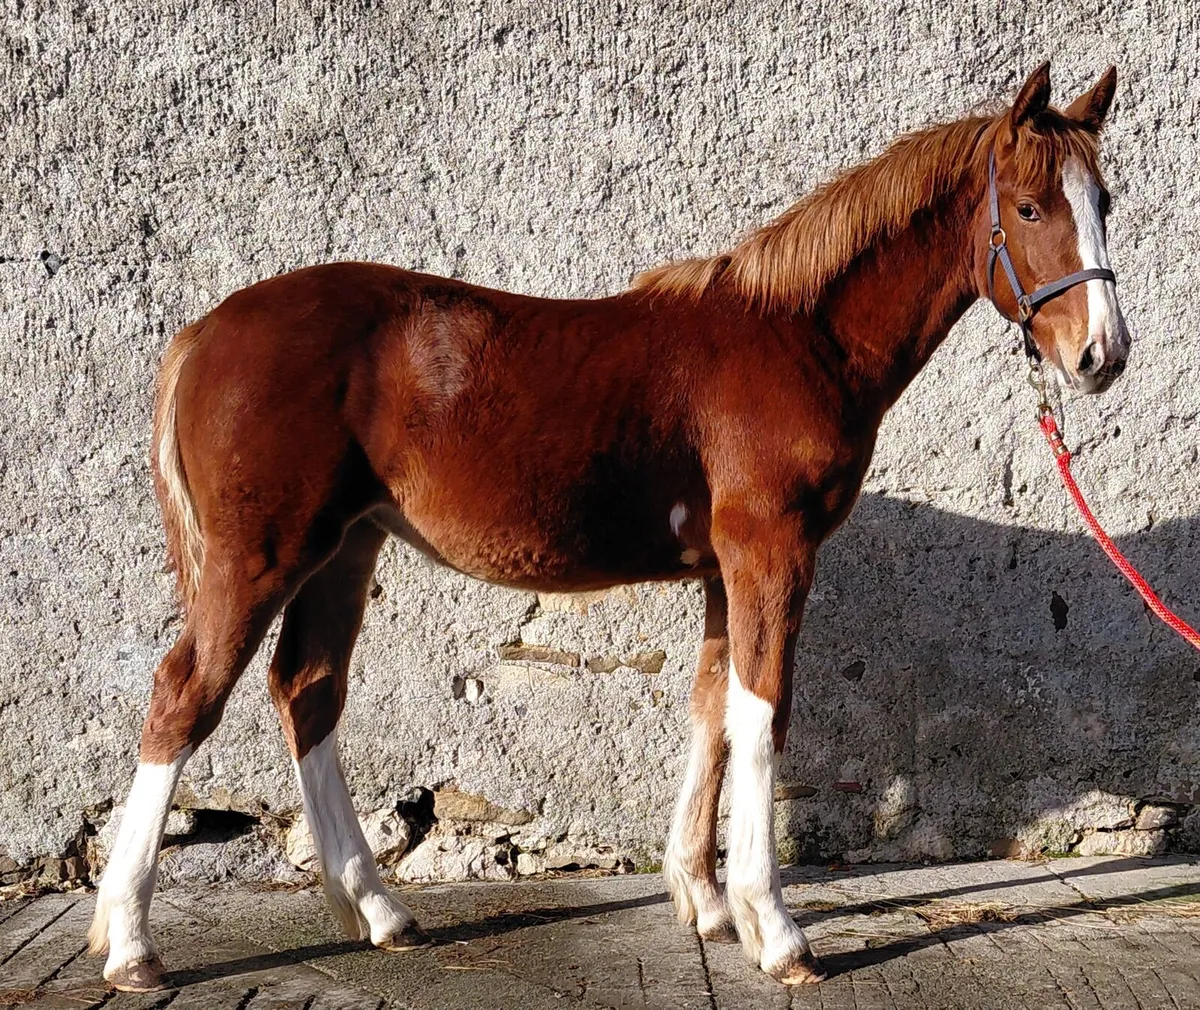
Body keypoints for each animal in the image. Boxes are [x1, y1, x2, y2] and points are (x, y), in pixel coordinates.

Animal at [88, 61, 1129, 990]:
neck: (797, 338)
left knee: (307, 692)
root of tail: (206, 332)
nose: (1102, 355)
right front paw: (777, 930)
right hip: (260, 559)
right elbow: (763, 717)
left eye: (1105, 200)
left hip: (345, 549)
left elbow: (713, 713)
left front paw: (706, 904)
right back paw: (133, 944)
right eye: (1029, 208)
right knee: (184, 696)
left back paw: (378, 911)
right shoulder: (772, 554)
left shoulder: (724, 569)